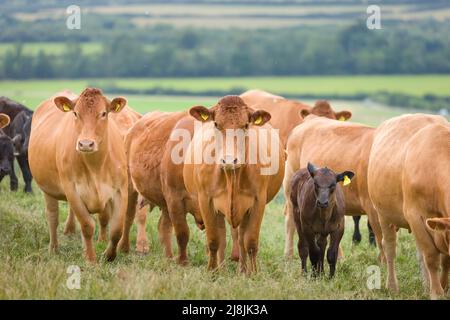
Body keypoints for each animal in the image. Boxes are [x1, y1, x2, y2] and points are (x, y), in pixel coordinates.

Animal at [29, 88, 129, 262]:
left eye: (103, 113)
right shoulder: (72, 190)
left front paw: (108, 256)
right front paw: (90, 258)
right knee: (52, 217)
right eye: (75, 113)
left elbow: (116, 229)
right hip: (47, 189)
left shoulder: (121, 190)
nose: (86, 144)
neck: (96, 167)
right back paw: (53, 249)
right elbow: (87, 225)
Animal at [181, 95, 284, 272]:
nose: (229, 160)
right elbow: (214, 240)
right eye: (216, 124)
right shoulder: (205, 201)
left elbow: (251, 242)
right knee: (222, 238)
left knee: (241, 238)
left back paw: (242, 270)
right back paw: (221, 268)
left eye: (246, 125)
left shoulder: (258, 202)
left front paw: (253, 273)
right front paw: (212, 272)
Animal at [368, 114, 448, 298]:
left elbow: (445, 259)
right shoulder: (415, 216)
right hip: (383, 214)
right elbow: (431, 257)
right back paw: (392, 286)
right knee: (389, 247)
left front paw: (442, 287)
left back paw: (426, 285)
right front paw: (437, 292)